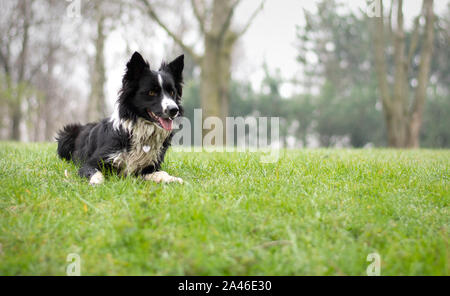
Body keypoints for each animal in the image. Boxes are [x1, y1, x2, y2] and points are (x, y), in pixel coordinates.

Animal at [57, 51, 185, 184]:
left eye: (172, 92)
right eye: (151, 92)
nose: (174, 110)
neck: (140, 131)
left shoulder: (148, 167)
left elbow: (161, 173)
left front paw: (173, 179)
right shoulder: (92, 162)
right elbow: (95, 172)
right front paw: (96, 182)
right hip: (66, 135)